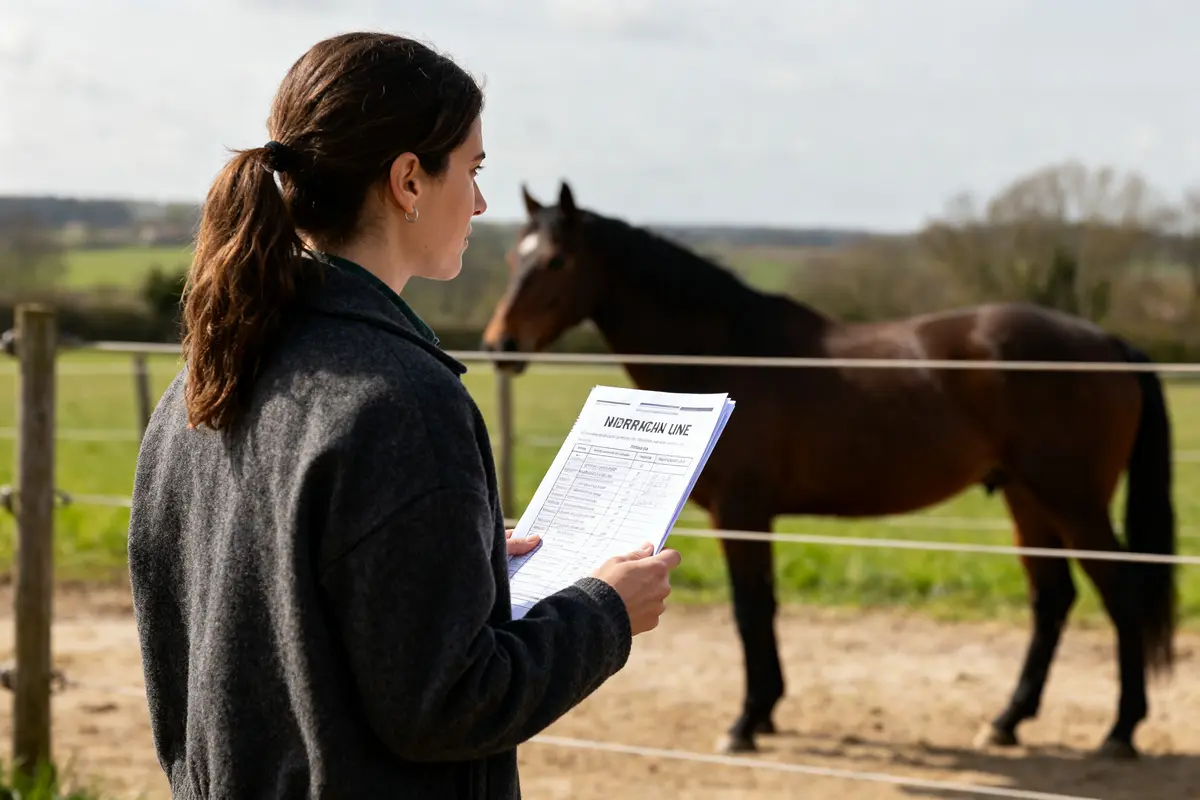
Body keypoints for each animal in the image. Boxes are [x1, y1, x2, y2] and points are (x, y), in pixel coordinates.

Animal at [481, 181, 1177, 761]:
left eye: (557, 261)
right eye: (514, 257)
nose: (499, 345)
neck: (731, 350)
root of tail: (1108, 344)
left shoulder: (743, 513)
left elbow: (751, 609)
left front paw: (746, 722)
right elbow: (761, 609)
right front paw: (764, 713)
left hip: (1073, 502)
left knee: (1121, 595)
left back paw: (1120, 732)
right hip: (1027, 500)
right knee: (1052, 600)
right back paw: (1007, 722)